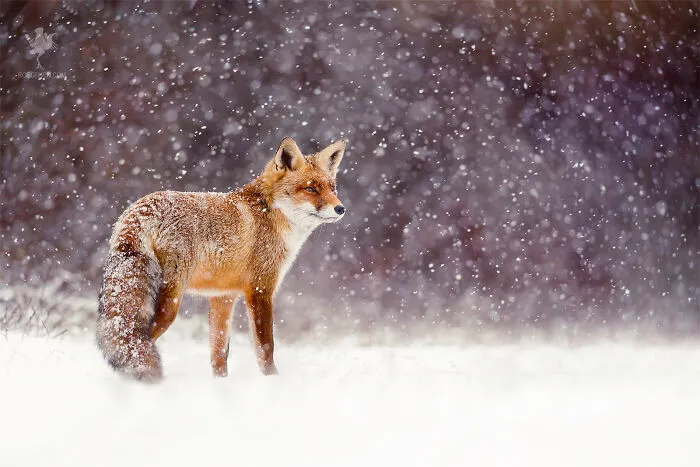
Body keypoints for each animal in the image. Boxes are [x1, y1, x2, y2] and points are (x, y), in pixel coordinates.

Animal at [95, 137, 346, 382]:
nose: (340, 208)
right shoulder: (260, 289)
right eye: (310, 188)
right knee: (141, 341)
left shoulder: (223, 296)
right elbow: (266, 347)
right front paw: (273, 380)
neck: (269, 212)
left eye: (332, 188)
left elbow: (219, 352)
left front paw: (221, 384)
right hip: (170, 304)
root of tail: (139, 211)